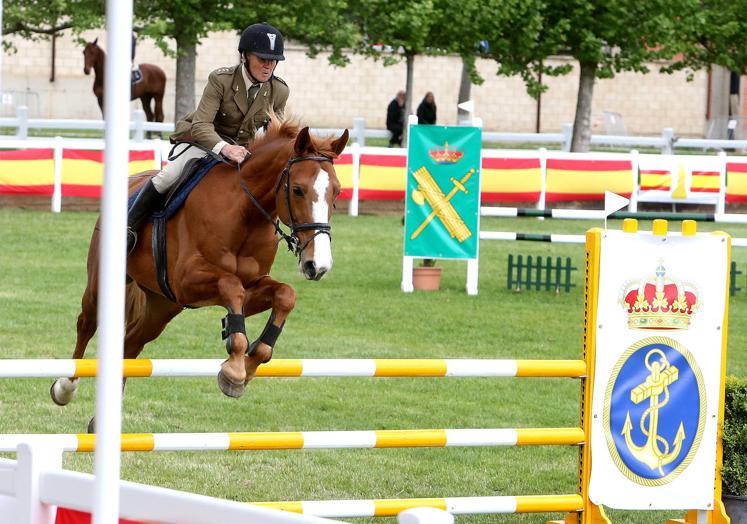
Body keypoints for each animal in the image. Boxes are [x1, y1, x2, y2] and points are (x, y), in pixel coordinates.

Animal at [51, 115, 350, 430]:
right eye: (298, 190)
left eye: (337, 191)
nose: (317, 265)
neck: (246, 214)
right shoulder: (187, 282)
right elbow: (231, 286)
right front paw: (234, 370)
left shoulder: (250, 285)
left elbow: (284, 294)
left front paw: (247, 364)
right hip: (103, 284)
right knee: (86, 324)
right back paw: (64, 388)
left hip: (162, 305)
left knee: (130, 343)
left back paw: (101, 420)